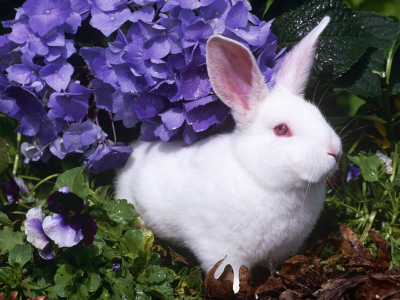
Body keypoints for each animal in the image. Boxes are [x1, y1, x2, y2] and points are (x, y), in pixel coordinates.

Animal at [115, 15, 340, 292]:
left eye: (318, 114)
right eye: (282, 129)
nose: (334, 151)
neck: (261, 178)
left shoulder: (279, 252)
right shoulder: (222, 249)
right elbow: (231, 276)